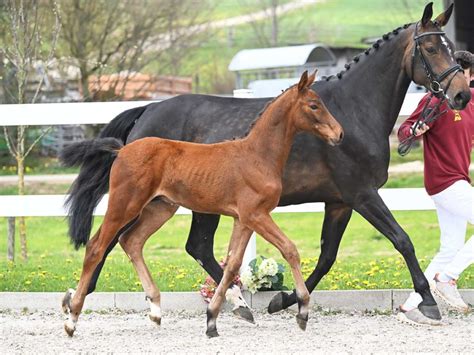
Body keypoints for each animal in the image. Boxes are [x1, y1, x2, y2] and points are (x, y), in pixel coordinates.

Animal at [63, 71, 344, 338]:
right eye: (314, 105)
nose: (339, 134)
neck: (257, 155)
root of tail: (121, 150)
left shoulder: (243, 219)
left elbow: (232, 265)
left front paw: (213, 319)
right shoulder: (256, 214)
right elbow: (290, 249)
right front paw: (303, 311)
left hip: (160, 208)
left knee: (131, 241)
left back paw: (155, 310)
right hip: (126, 204)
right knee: (97, 247)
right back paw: (72, 318)